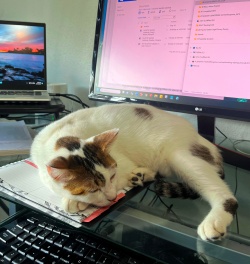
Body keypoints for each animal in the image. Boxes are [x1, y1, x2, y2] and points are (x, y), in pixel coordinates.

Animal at [30, 103, 237, 241]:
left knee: (225, 195)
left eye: (112, 176)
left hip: (181, 157)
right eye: (93, 188)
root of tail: (205, 141)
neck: (63, 136)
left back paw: (214, 221)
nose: (113, 198)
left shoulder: (122, 163)